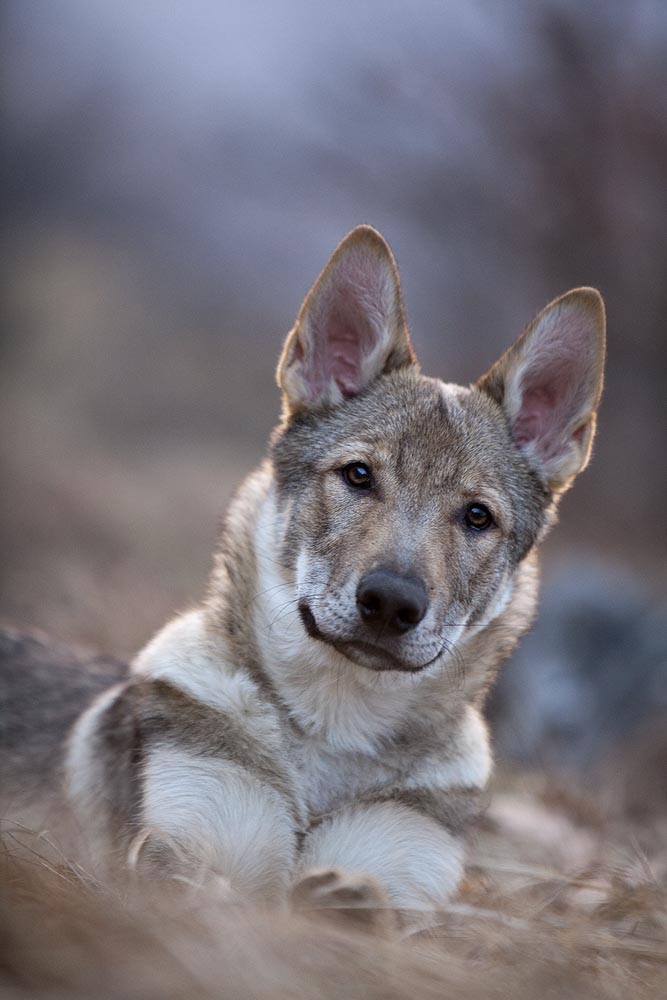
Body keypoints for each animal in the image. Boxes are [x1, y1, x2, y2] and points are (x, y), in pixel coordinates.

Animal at [0, 225, 604, 916]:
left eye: (477, 516)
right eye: (358, 475)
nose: (392, 602)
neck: (333, 737)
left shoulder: (400, 876)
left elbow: (366, 900)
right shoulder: (174, 855)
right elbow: (226, 898)